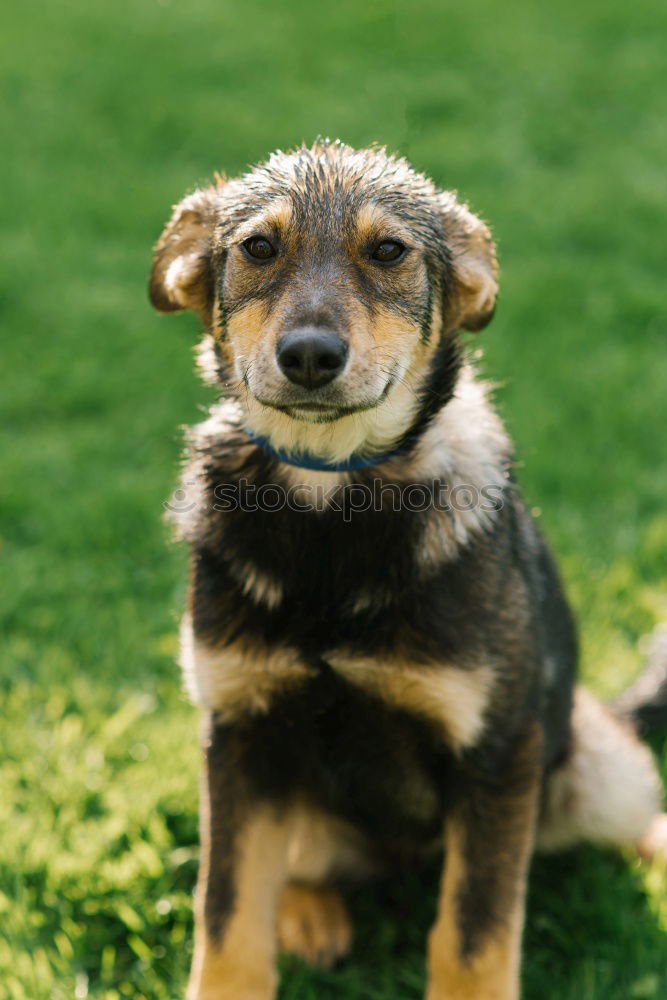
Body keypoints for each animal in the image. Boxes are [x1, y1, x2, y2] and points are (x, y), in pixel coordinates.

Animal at [147, 143, 667, 1000]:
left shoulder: (498, 748)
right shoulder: (238, 730)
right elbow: (225, 918)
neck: (328, 502)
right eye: (258, 248)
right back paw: (309, 915)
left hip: (595, 764)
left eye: (388, 251)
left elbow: (473, 934)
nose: (311, 356)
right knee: (297, 865)